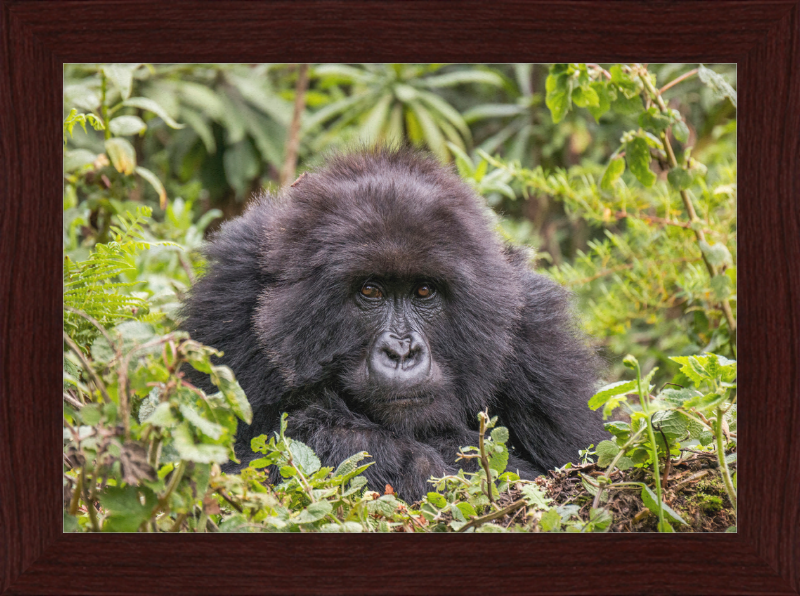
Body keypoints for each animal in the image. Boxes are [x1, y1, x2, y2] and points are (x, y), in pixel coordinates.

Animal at [181, 147, 604, 500]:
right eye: (370, 290)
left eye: (423, 291)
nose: (401, 351)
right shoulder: (228, 302)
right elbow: (229, 469)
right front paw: (376, 450)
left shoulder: (537, 335)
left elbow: (581, 467)